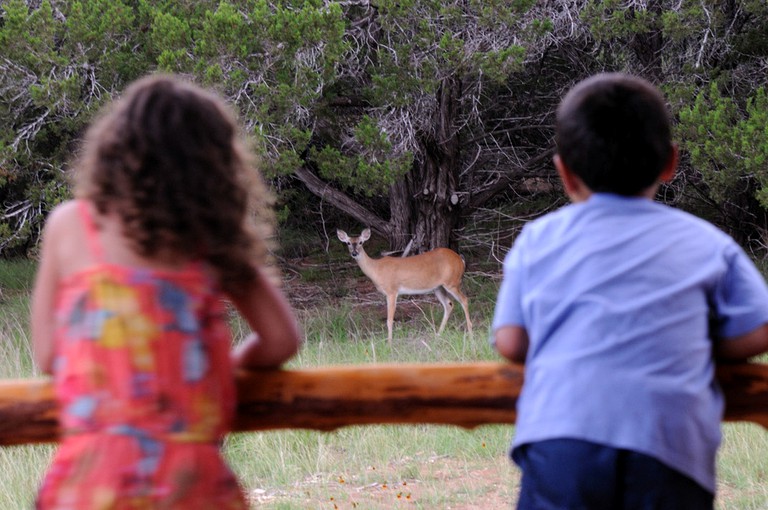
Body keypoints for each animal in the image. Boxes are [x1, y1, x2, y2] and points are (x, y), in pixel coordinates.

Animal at [338, 227, 474, 342]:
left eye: (361, 242)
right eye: (348, 243)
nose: (354, 253)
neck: (376, 269)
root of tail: (460, 259)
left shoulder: (392, 291)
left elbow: (389, 320)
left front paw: (389, 343)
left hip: (452, 282)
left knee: (464, 299)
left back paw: (470, 332)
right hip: (438, 287)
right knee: (449, 304)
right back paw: (438, 334)